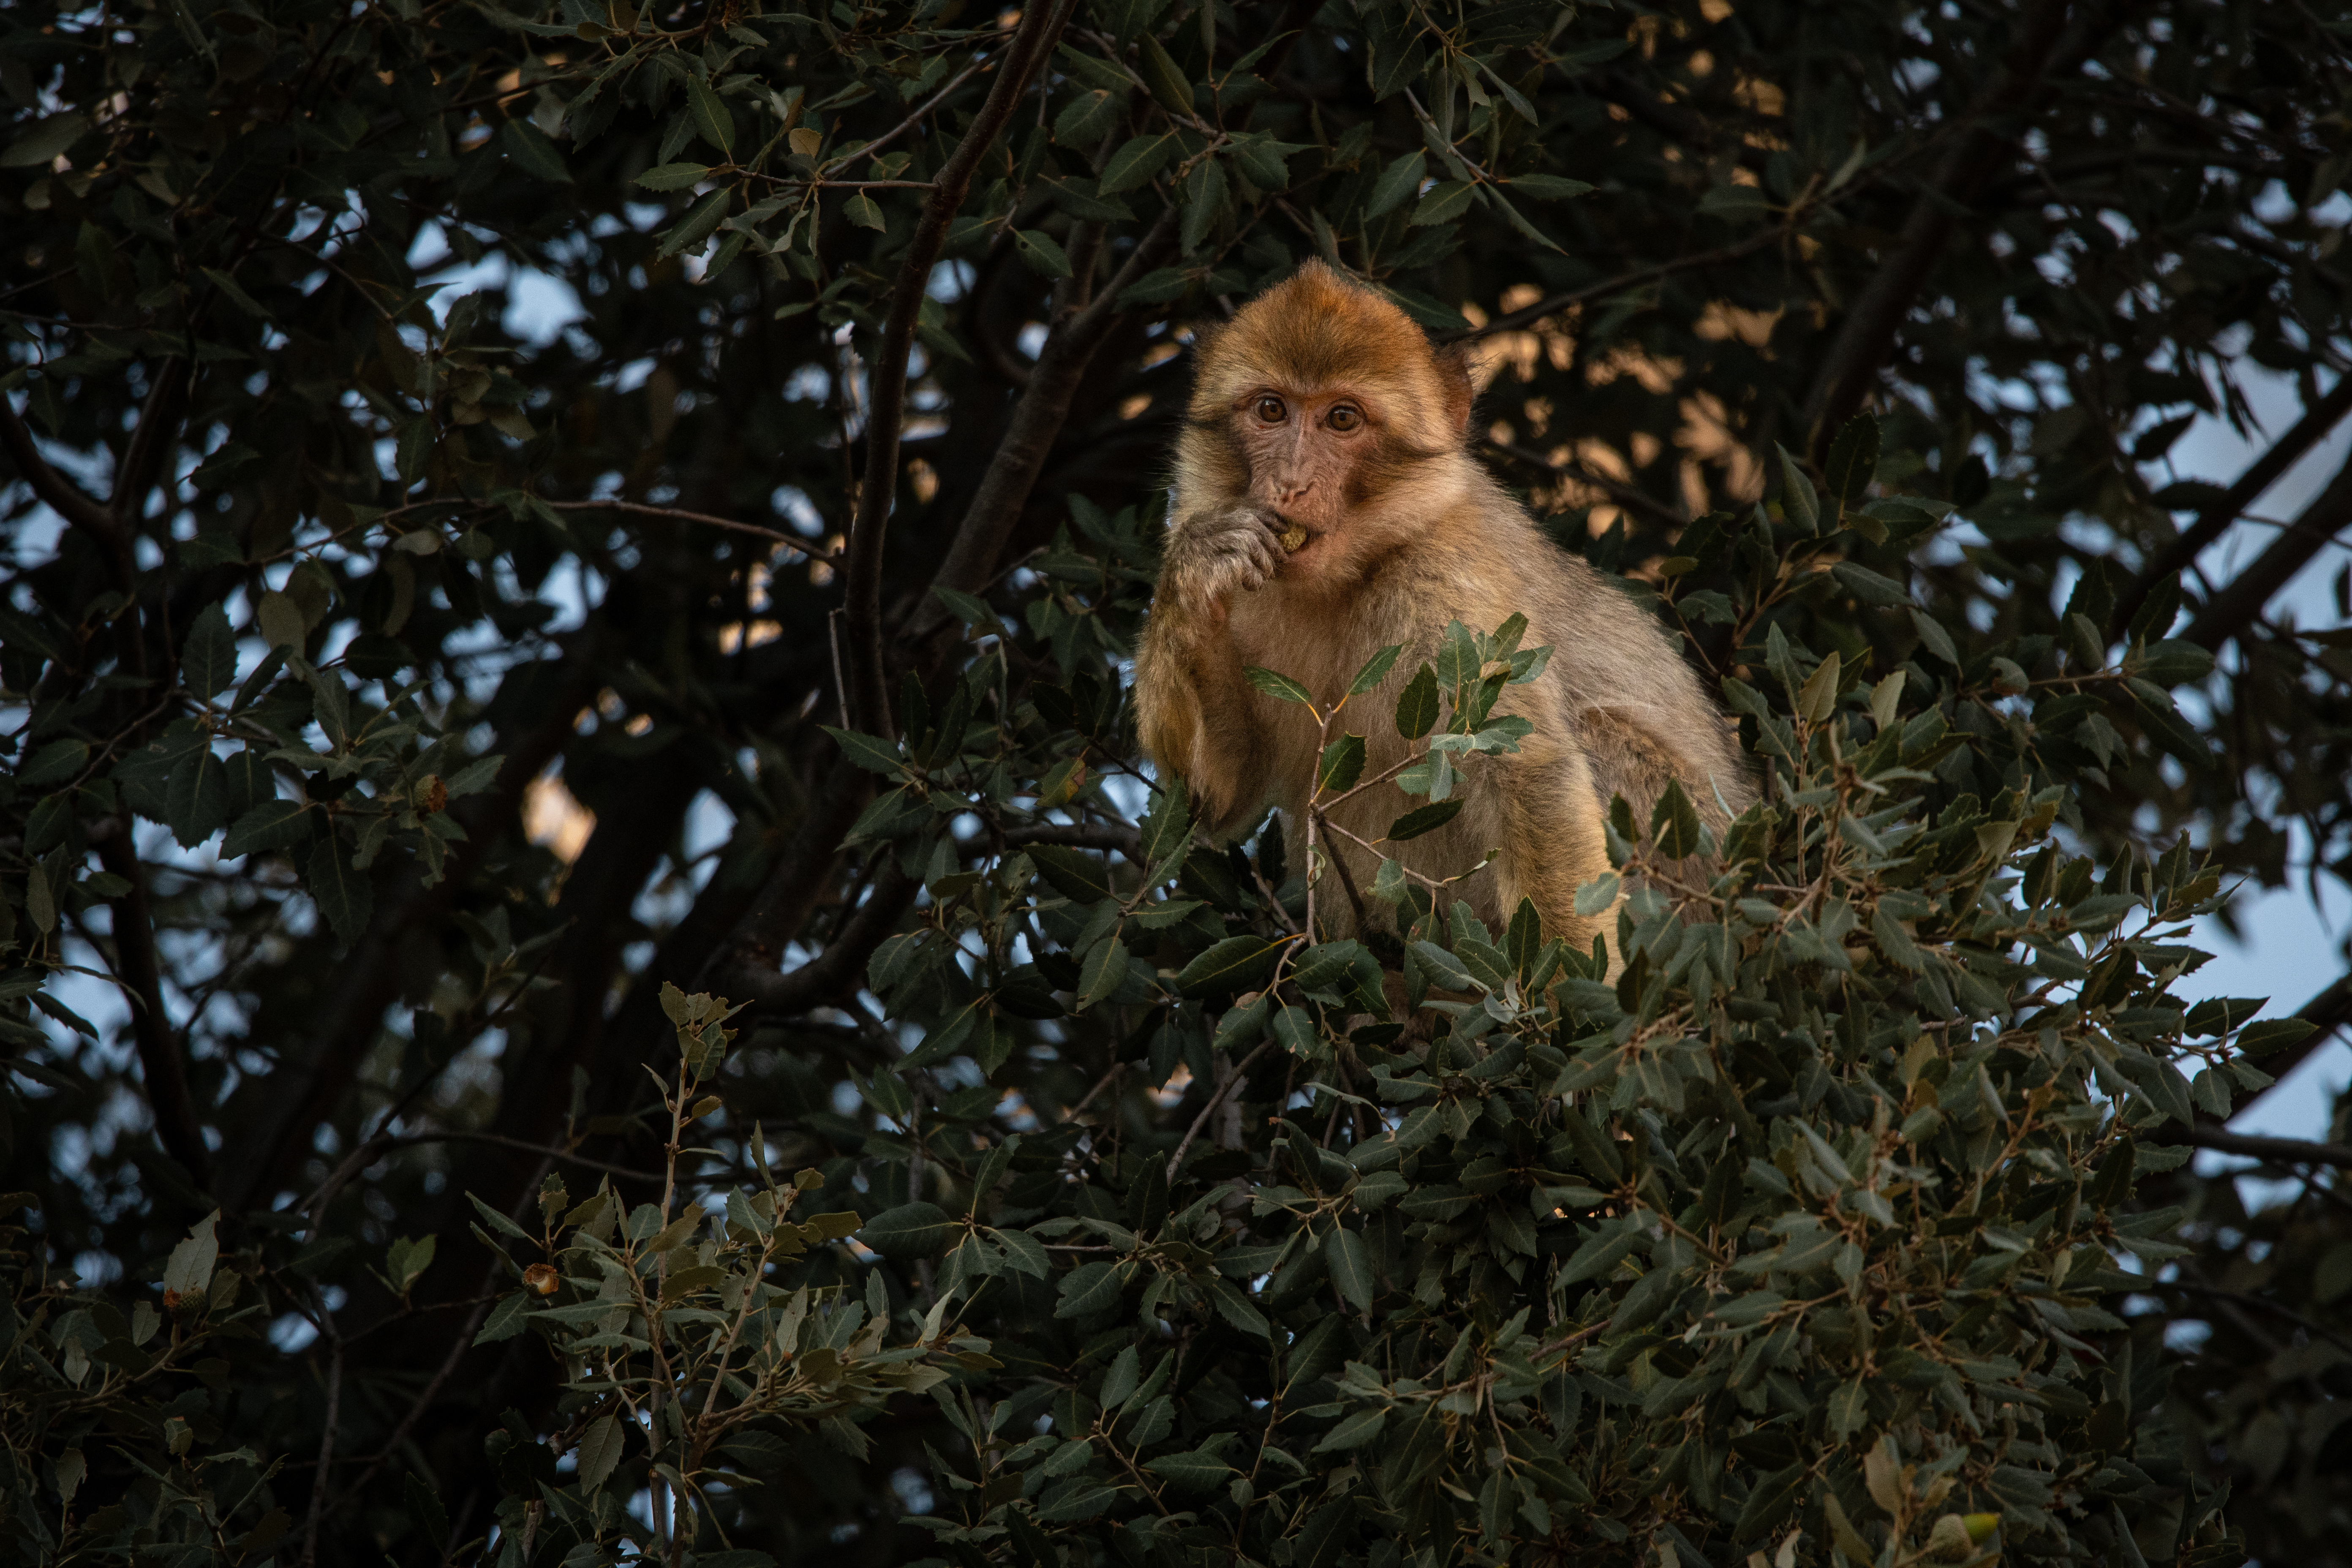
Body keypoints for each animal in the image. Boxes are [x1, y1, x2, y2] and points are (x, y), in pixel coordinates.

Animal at [1132, 261, 1753, 968]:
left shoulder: (1451, 590)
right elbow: (1218, 798)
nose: (1290, 483)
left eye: (1342, 419)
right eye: (1271, 410)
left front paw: (1564, 994)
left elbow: (1527, 771)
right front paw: (1196, 571)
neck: (1352, 570)